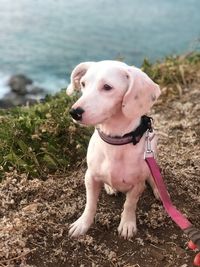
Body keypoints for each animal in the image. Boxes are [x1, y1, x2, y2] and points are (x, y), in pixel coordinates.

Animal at [67, 61, 161, 241]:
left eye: (107, 87)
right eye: (83, 84)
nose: (74, 112)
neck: (115, 142)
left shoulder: (138, 185)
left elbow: (130, 204)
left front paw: (127, 223)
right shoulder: (90, 177)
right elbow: (90, 204)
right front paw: (83, 223)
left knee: (154, 178)